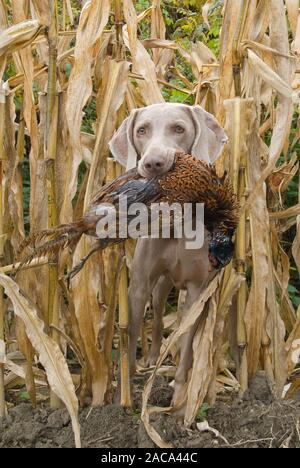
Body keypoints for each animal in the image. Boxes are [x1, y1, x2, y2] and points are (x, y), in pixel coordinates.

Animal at [110, 103, 227, 406]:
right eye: (141, 130)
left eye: (179, 128)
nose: (154, 163)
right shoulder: (139, 285)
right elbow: (132, 332)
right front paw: (127, 387)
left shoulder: (198, 289)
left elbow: (186, 338)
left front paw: (180, 390)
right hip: (160, 284)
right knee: (160, 313)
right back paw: (152, 358)